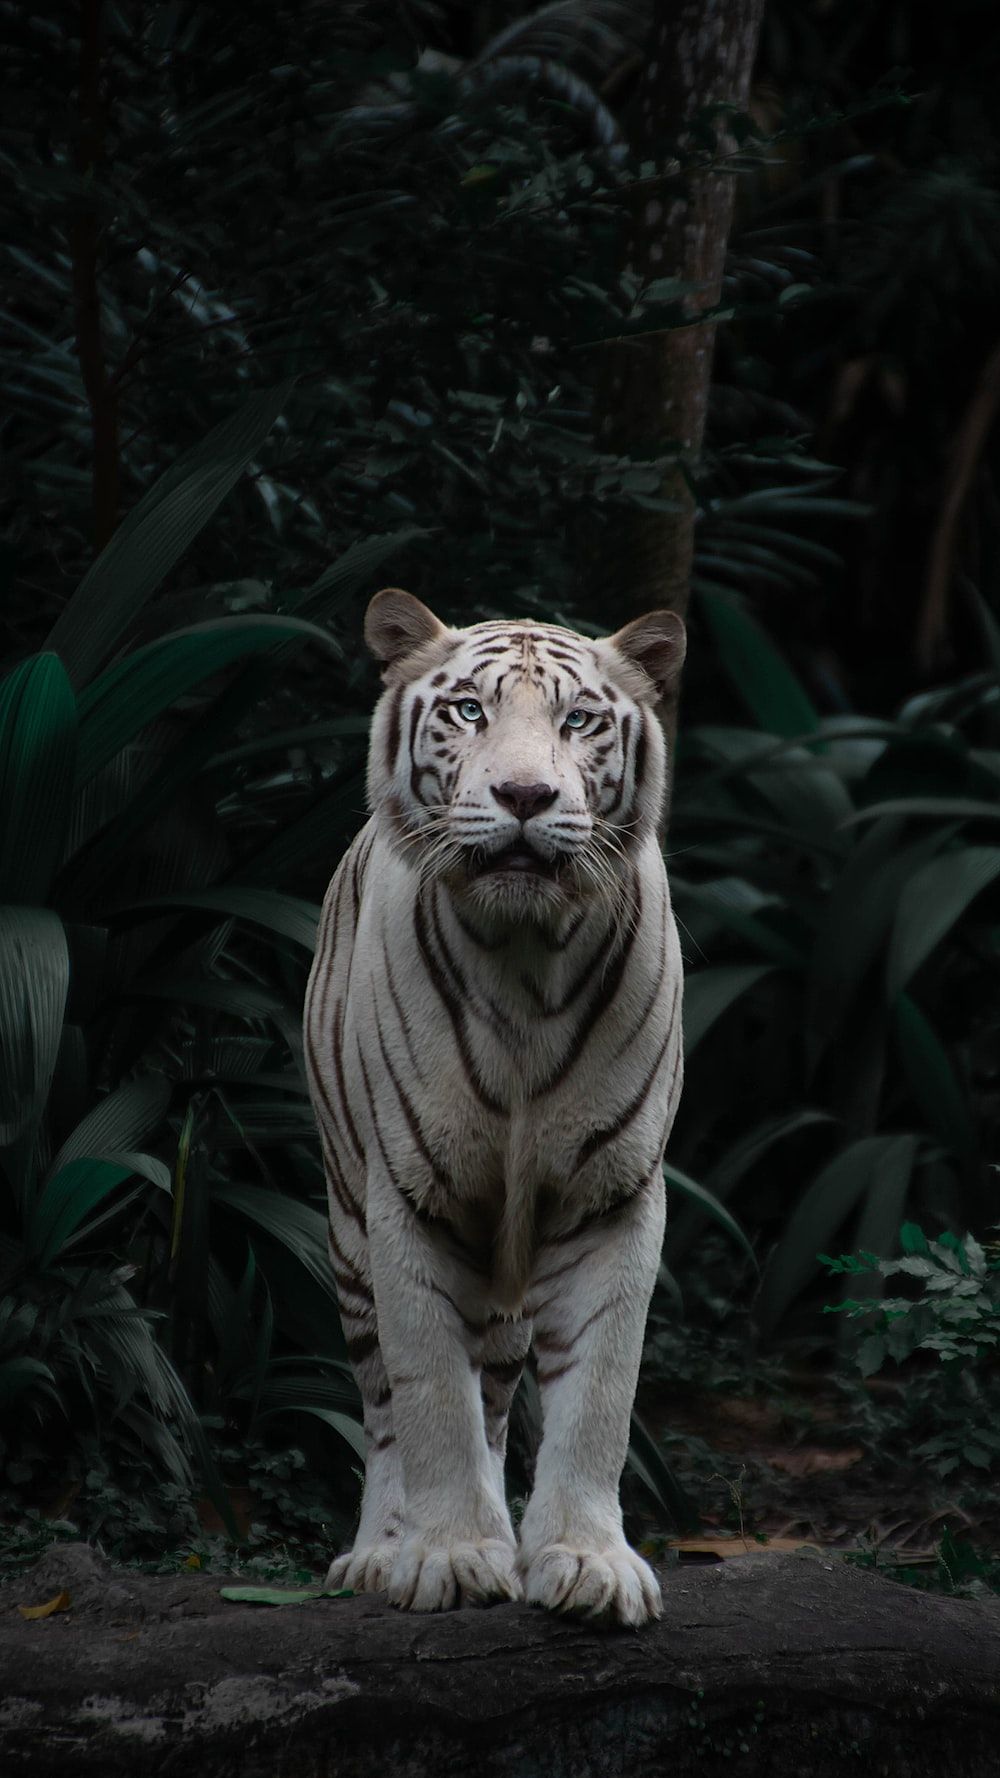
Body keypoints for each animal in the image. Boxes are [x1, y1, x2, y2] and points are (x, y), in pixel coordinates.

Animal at [298, 586, 679, 1628]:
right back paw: (380, 1552)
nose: (524, 797)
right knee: (385, 1404)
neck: (525, 960)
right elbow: (430, 1394)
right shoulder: (408, 1199)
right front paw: (452, 1556)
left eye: (578, 720)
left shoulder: (612, 1197)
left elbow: (599, 1393)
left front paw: (586, 1563)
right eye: (470, 712)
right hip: (346, 1230)